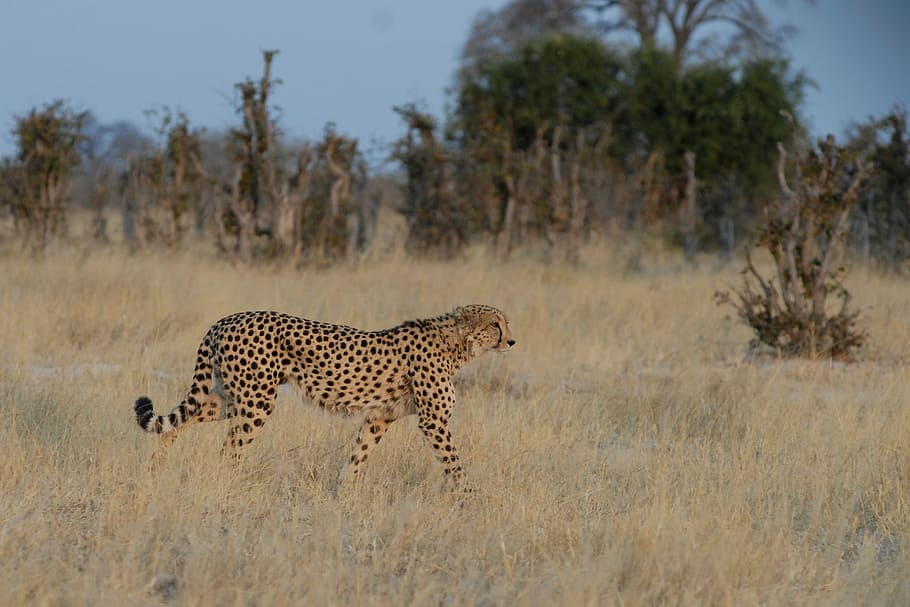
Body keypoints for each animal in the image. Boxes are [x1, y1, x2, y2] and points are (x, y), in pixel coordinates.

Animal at [133, 304, 514, 490]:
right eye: (495, 324)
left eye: (505, 323)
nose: (511, 341)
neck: (457, 344)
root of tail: (227, 318)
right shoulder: (433, 421)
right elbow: (455, 464)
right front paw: (471, 499)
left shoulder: (379, 417)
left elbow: (358, 458)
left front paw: (342, 495)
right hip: (256, 401)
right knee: (229, 450)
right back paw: (228, 485)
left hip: (232, 397)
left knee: (181, 420)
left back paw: (157, 463)